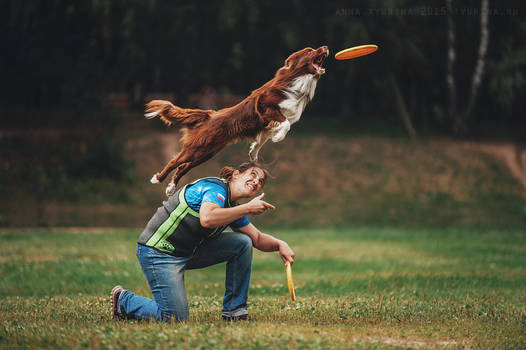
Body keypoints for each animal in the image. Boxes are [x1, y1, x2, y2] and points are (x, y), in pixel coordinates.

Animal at [146, 45, 328, 196]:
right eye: (310, 51)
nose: (326, 47)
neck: (299, 81)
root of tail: (208, 115)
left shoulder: (266, 125)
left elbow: (263, 139)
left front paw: (253, 153)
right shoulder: (266, 107)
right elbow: (286, 124)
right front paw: (278, 138)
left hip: (206, 153)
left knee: (183, 166)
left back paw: (170, 188)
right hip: (197, 148)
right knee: (175, 161)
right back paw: (157, 178)